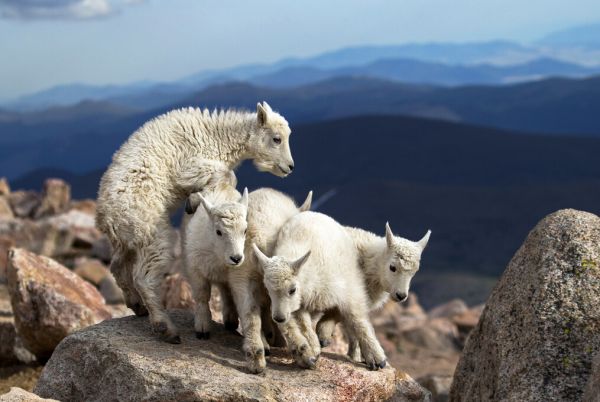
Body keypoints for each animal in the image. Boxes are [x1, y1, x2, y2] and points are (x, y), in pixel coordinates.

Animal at [96, 101, 292, 342]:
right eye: (277, 138)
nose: (290, 167)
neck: (219, 135)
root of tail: (106, 217)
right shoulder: (190, 164)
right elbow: (227, 175)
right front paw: (192, 201)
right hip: (150, 232)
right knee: (144, 277)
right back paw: (166, 328)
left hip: (127, 240)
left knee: (116, 266)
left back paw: (137, 306)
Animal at [184, 186, 312, 374]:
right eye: (219, 232)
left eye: (243, 230)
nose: (236, 258)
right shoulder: (235, 277)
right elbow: (249, 312)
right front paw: (256, 355)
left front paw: (302, 352)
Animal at [252, 210, 384, 370]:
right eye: (268, 289)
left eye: (292, 289)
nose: (279, 318)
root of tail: (314, 213)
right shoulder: (300, 304)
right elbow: (304, 324)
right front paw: (313, 350)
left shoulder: (349, 289)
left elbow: (357, 319)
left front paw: (376, 358)